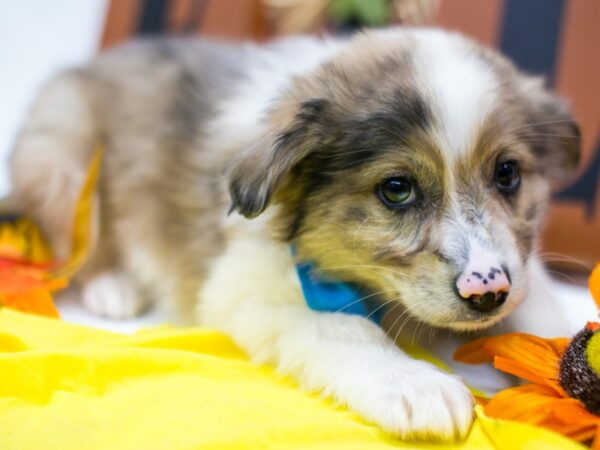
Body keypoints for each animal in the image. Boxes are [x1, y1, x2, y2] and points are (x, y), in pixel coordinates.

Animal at [10, 27, 580, 440]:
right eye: (397, 189)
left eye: (507, 174)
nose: (487, 293)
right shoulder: (246, 283)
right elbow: (343, 327)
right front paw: (415, 386)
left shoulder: (519, 269)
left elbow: (539, 309)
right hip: (62, 160)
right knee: (77, 243)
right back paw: (115, 287)